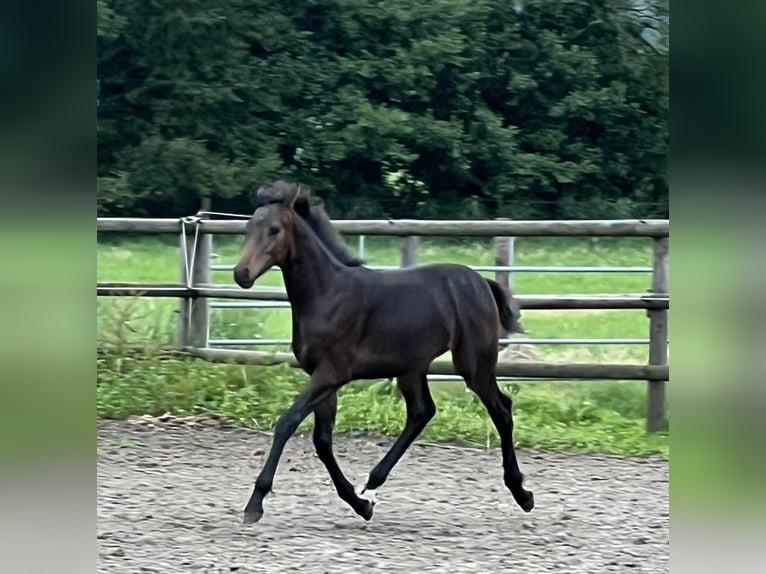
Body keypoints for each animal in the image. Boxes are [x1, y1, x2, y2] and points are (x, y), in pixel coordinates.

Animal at [232, 182, 536, 524]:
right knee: (421, 412)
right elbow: (322, 440)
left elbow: (287, 423)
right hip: (411, 368)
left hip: (473, 365)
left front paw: (255, 502)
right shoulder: (322, 378)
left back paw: (522, 493)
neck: (327, 294)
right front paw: (359, 504)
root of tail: (482, 282)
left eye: (274, 229)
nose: (241, 274)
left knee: (501, 410)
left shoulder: (331, 374)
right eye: (248, 228)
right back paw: (372, 486)